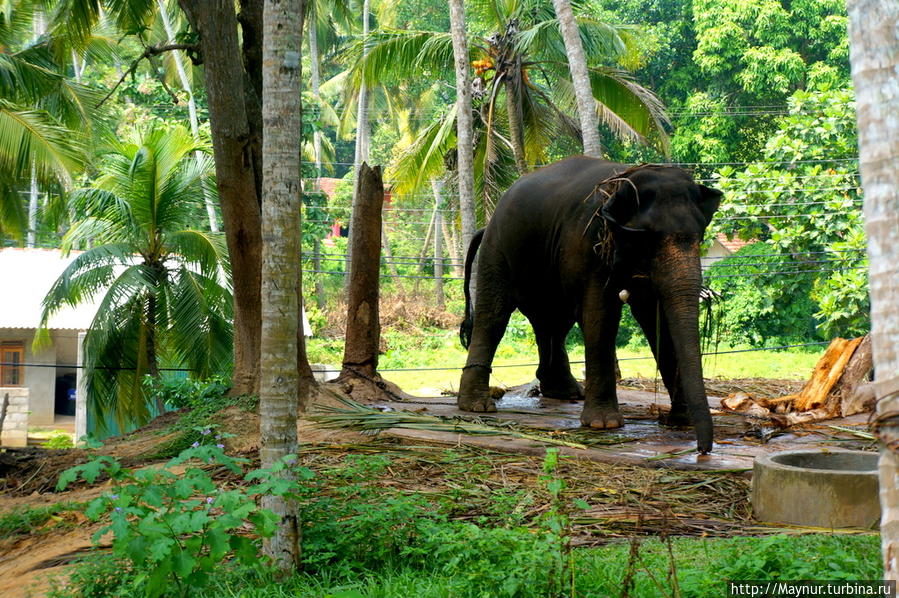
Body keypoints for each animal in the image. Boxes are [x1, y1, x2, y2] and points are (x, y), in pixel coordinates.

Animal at [460, 157, 720, 452]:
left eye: (700, 237)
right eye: (648, 238)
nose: (703, 449)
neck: (624, 180)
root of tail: (488, 223)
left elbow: (657, 320)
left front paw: (682, 420)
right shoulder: (588, 242)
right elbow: (600, 314)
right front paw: (604, 425)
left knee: (552, 320)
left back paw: (565, 392)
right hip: (498, 249)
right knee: (494, 315)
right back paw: (477, 406)